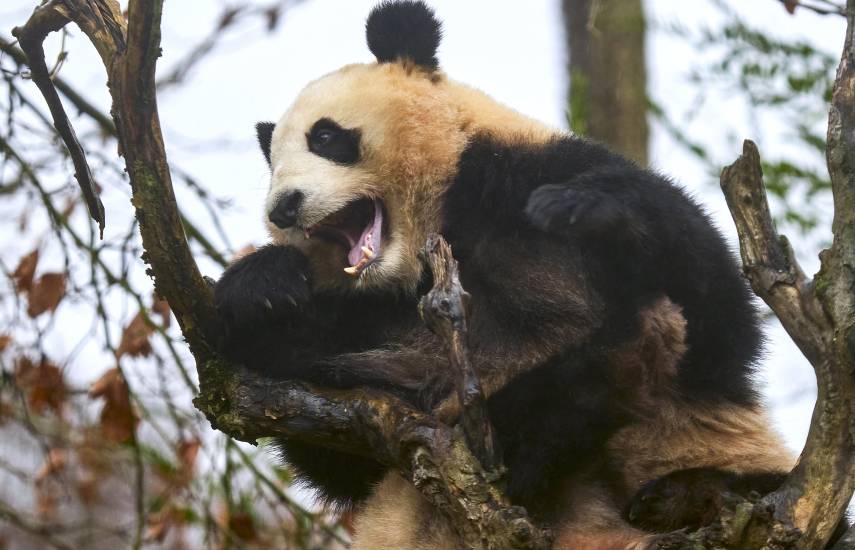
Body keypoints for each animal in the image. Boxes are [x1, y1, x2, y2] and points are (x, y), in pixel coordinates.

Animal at [213, 1, 802, 548]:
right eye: (273, 166)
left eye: (326, 137)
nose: (284, 208)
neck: (435, 233)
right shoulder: (367, 333)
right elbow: (339, 450)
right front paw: (262, 290)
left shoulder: (524, 172)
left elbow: (715, 319)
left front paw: (589, 210)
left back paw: (678, 495)